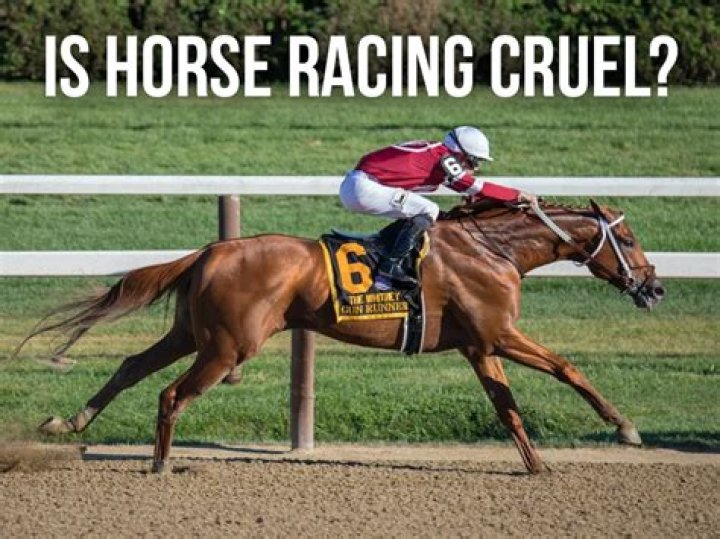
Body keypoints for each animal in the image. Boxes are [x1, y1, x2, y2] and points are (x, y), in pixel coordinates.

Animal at [17, 199, 665, 474]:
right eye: (630, 240)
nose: (654, 288)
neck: (493, 249)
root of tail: (210, 251)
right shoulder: (499, 336)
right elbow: (568, 368)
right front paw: (626, 428)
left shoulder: (481, 346)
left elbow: (508, 410)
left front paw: (537, 467)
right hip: (227, 346)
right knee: (172, 394)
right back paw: (159, 466)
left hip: (192, 335)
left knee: (132, 365)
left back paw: (68, 422)